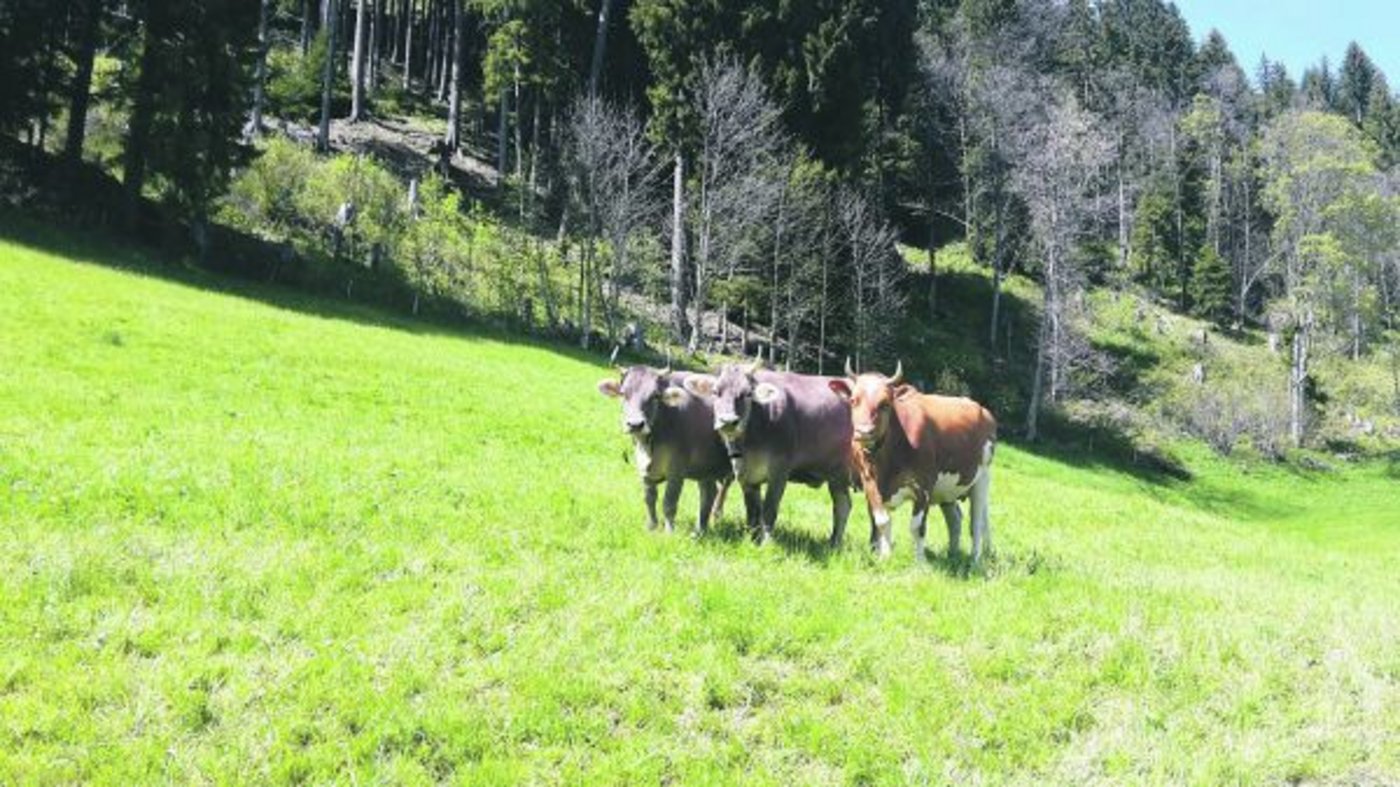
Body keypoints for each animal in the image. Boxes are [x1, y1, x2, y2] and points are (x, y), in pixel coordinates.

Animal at [597, 361, 735, 534]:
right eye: (623, 393)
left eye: (655, 395)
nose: (635, 424)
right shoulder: (644, 471)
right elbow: (649, 498)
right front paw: (651, 526)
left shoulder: (677, 472)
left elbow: (669, 502)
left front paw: (669, 531)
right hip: (706, 468)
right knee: (708, 493)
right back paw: (700, 530)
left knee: (721, 489)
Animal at [683, 361, 856, 546]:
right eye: (715, 392)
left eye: (747, 394)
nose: (728, 421)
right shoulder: (745, 474)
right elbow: (752, 511)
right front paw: (751, 539)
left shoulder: (780, 471)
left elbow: (769, 509)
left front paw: (766, 543)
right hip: (836, 474)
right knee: (843, 504)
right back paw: (834, 543)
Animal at [829, 360, 997, 563]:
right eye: (853, 400)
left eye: (885, 404)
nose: (863, 432)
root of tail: (982, 410)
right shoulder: (870, 482)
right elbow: (882, 521)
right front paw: (884, 556)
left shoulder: (924, 486)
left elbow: (917, 527)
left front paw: (920, 562)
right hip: (947, 490)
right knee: (955, 519)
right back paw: (953, 554)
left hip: (982, 479)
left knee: (977, 522)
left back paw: (975, 559)